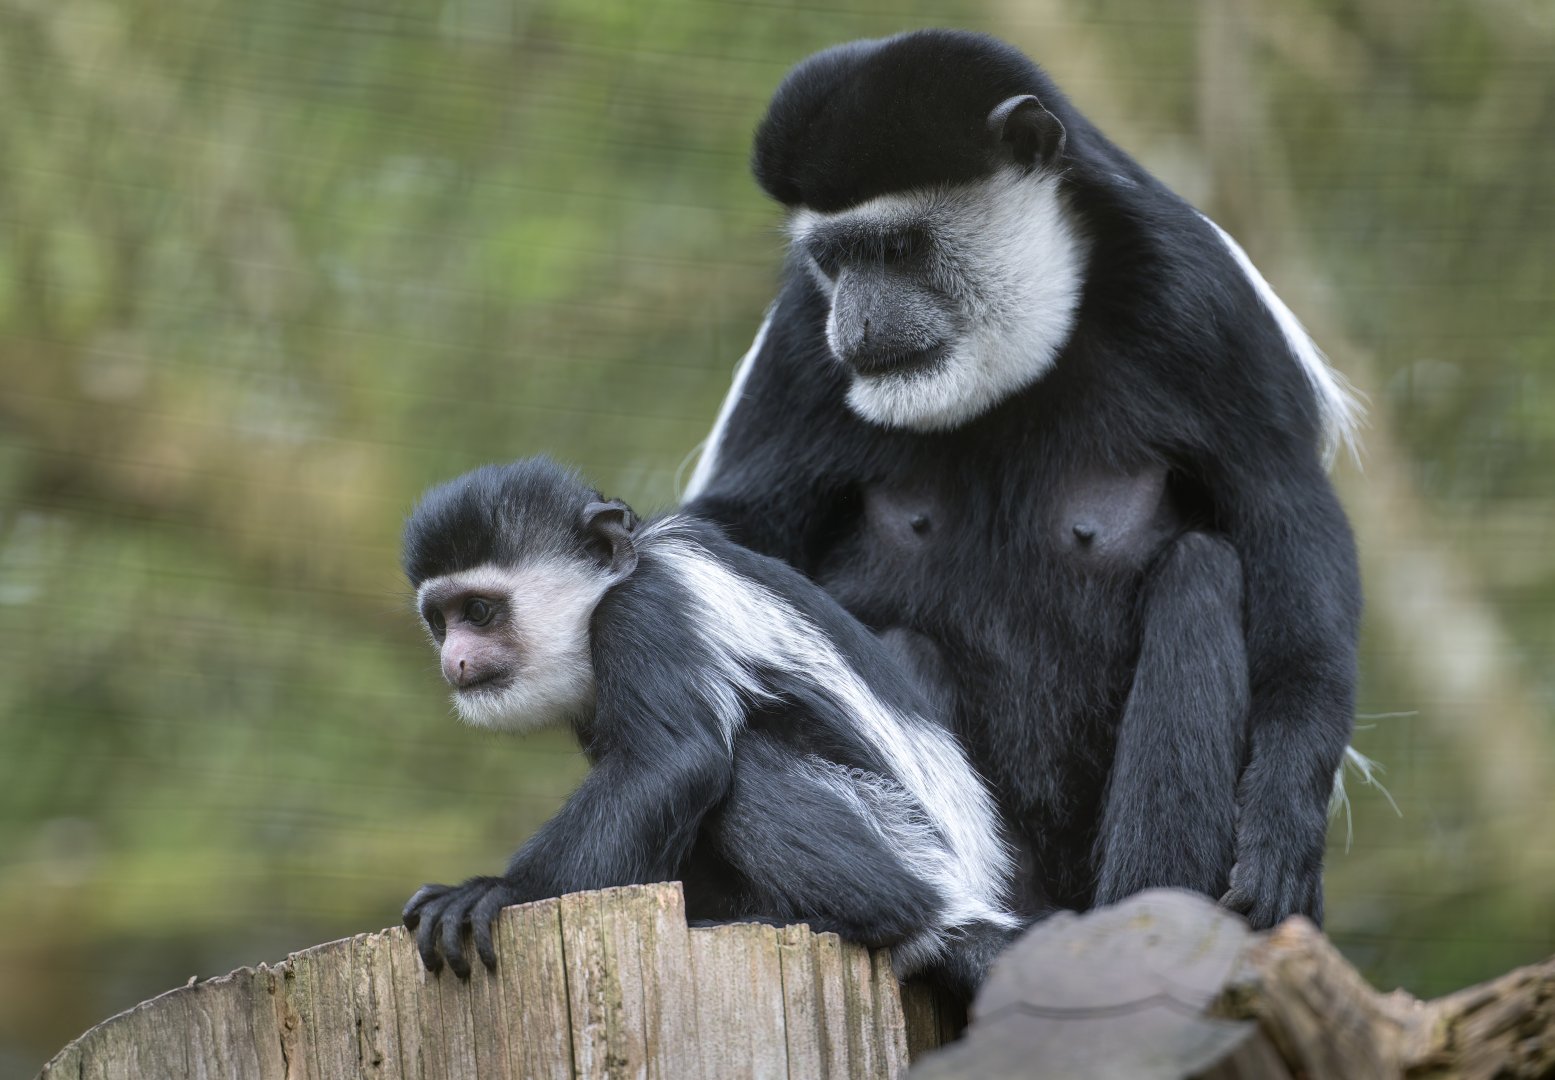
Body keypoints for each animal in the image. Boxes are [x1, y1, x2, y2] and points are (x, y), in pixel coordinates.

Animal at [399, 457, 1021, 995]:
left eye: (478, 612)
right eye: (440, 621)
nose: (454, 660)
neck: (613, 581)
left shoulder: (643, 612)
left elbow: (673, 761)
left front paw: (497, 891)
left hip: (903, 834)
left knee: (749, 764)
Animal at [682, 30, 1365, 929]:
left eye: (897, 248)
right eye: (833, 259)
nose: (856, 325)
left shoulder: (1209, 308)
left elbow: (1288, 526)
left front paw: (1282, 825)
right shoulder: (801, 338)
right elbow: (739, 531)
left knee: (1204, 574)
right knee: (890, 644)